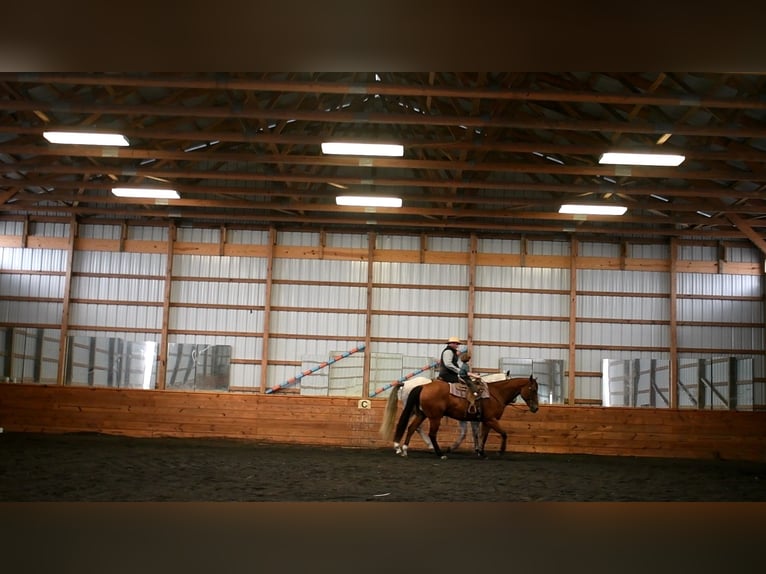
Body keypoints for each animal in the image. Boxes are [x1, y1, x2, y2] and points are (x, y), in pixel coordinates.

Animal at [380, 376, 540, 462]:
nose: (535, 408)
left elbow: (483, 436)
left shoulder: (485, 421)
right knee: (431, 434)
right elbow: (503, 433)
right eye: (533, 389)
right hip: (434, 417)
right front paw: (500, 451)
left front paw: (481, 452)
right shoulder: (491, 419)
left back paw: (404, 450)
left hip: (421, 414)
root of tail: (423, 386)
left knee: (412, 428)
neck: (495, 393)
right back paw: (440, 453)